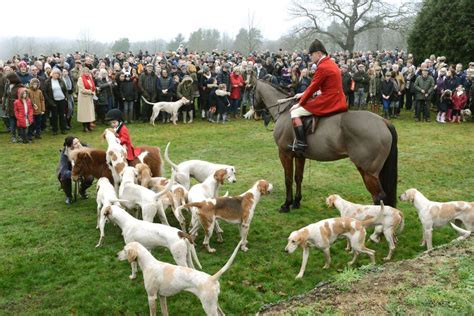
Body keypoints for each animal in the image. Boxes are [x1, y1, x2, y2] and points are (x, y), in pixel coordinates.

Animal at [254, 79, 398, 212]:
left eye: (251, 91)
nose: (255, 113)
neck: (284, 111)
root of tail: (383, 121)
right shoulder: (300, 156)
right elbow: (298, 178)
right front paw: (296, 202)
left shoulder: (285, 154)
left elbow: (288, 179)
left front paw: (286, 205)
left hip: (368, 172)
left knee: (379, 197)